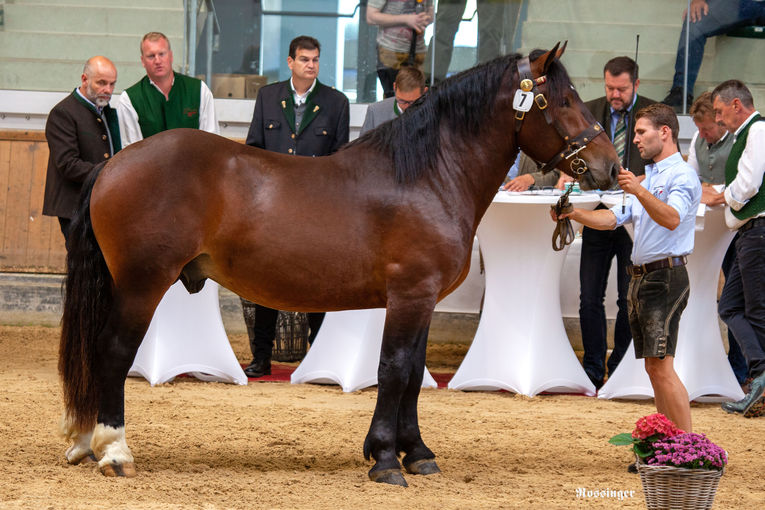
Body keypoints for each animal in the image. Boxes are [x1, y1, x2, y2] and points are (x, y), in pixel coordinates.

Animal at [59, 43, 620, 486]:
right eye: (561, 101)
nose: (610, 167)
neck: (426, 176)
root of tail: (113, 164)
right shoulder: (410, 295)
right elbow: (393, 369)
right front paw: (386, 459)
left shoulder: (424, 300)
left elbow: (413, 373)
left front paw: (417, 454)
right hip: (141, 285)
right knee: (112, 352)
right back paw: (114, 450)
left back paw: (85, 443)